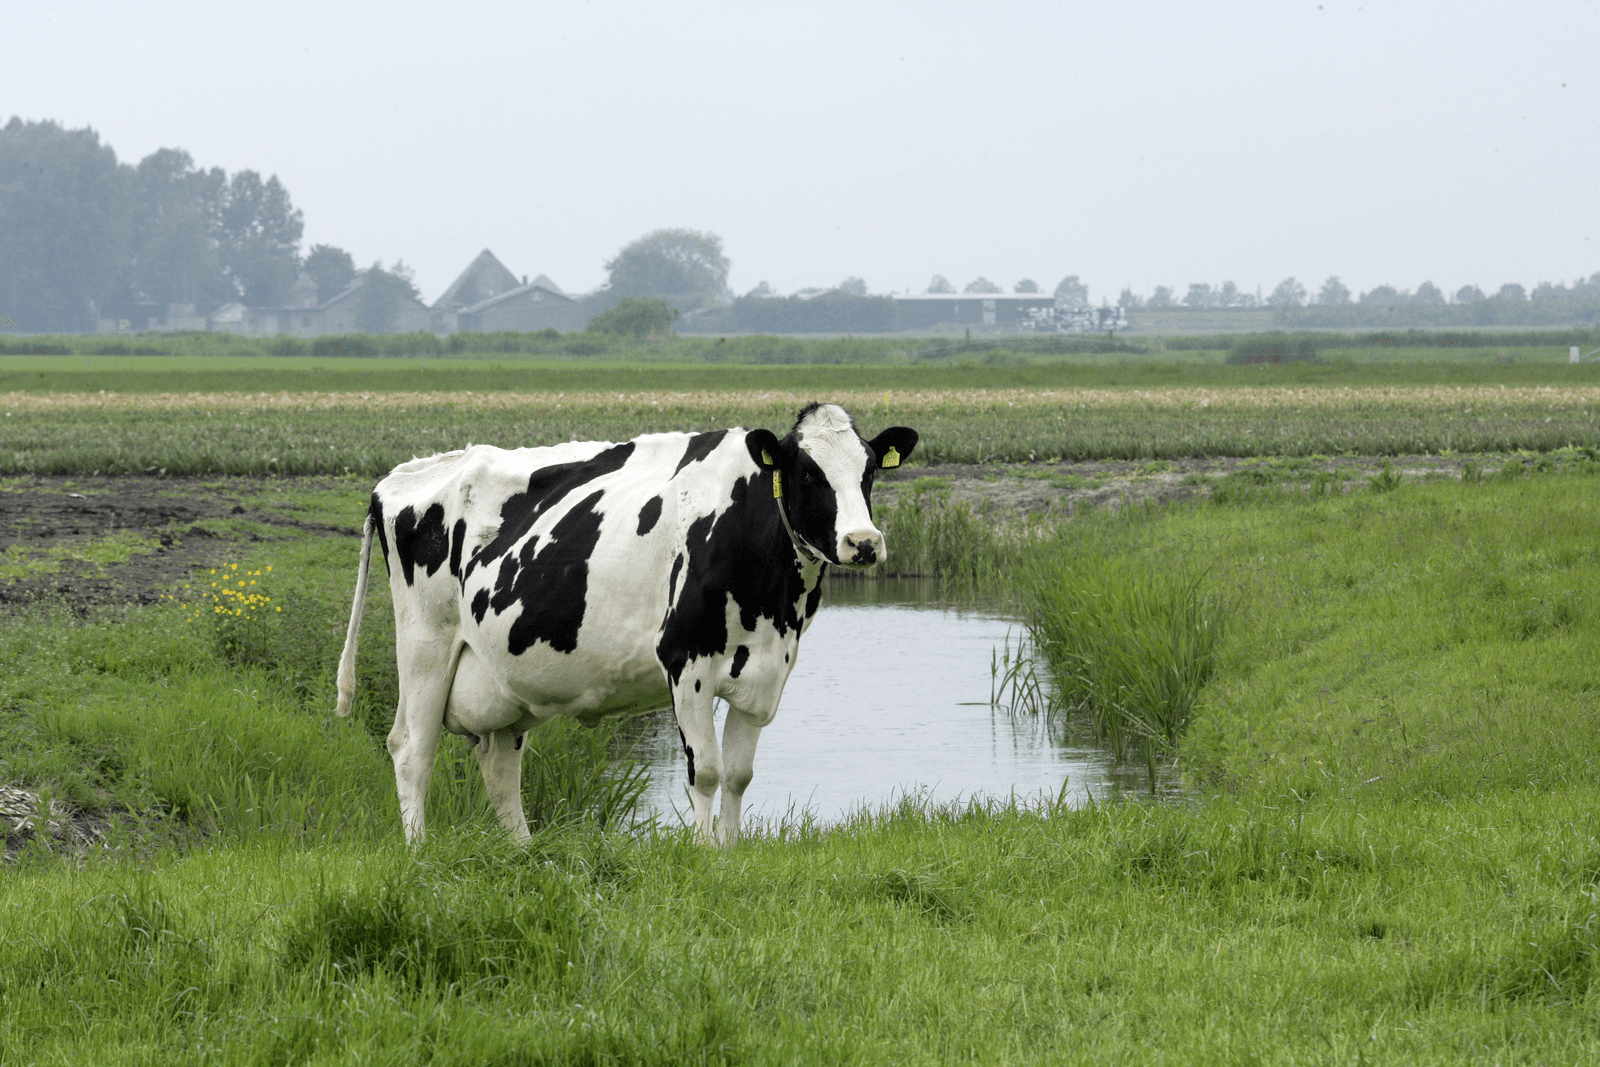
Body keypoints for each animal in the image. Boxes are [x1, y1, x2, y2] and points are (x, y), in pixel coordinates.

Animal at [334, 402, 919, 846]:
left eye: (869, 471)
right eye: (807, 473)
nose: (863, 542)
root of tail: (399, 476)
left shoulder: (765, 673)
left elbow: (738, 775)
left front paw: (730, 853)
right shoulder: (686, 661)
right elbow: (706, 771)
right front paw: (704, 856)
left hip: (501, 677)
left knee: (498, 763)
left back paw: (525, 853)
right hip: (424, 646)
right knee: (412, 751)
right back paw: (419, 853)